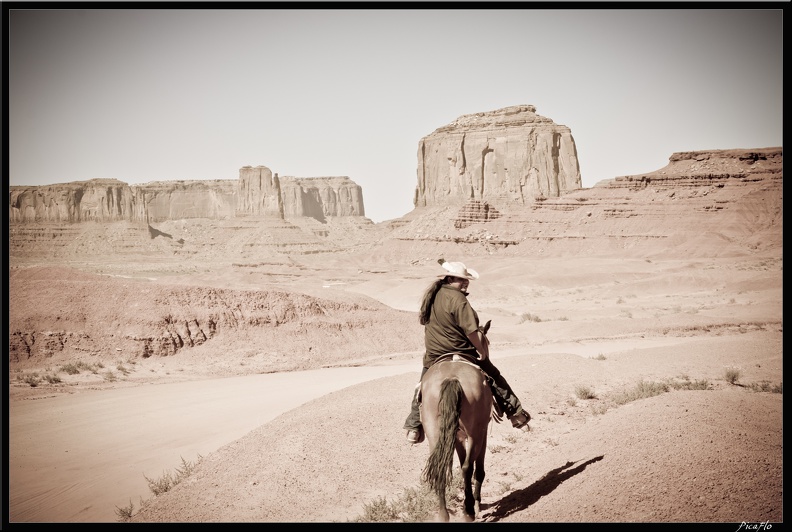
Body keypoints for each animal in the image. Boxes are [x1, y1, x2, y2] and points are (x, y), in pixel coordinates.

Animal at [418, 356, 498, 520]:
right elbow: (478, 469)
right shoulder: (483, 433)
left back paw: (444, 514)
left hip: (434, 433)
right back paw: (469, 512)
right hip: (475, 434)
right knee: (468, 467)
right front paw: (477, 504)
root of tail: (451, 378)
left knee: (440, 468)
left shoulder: (458, 438)